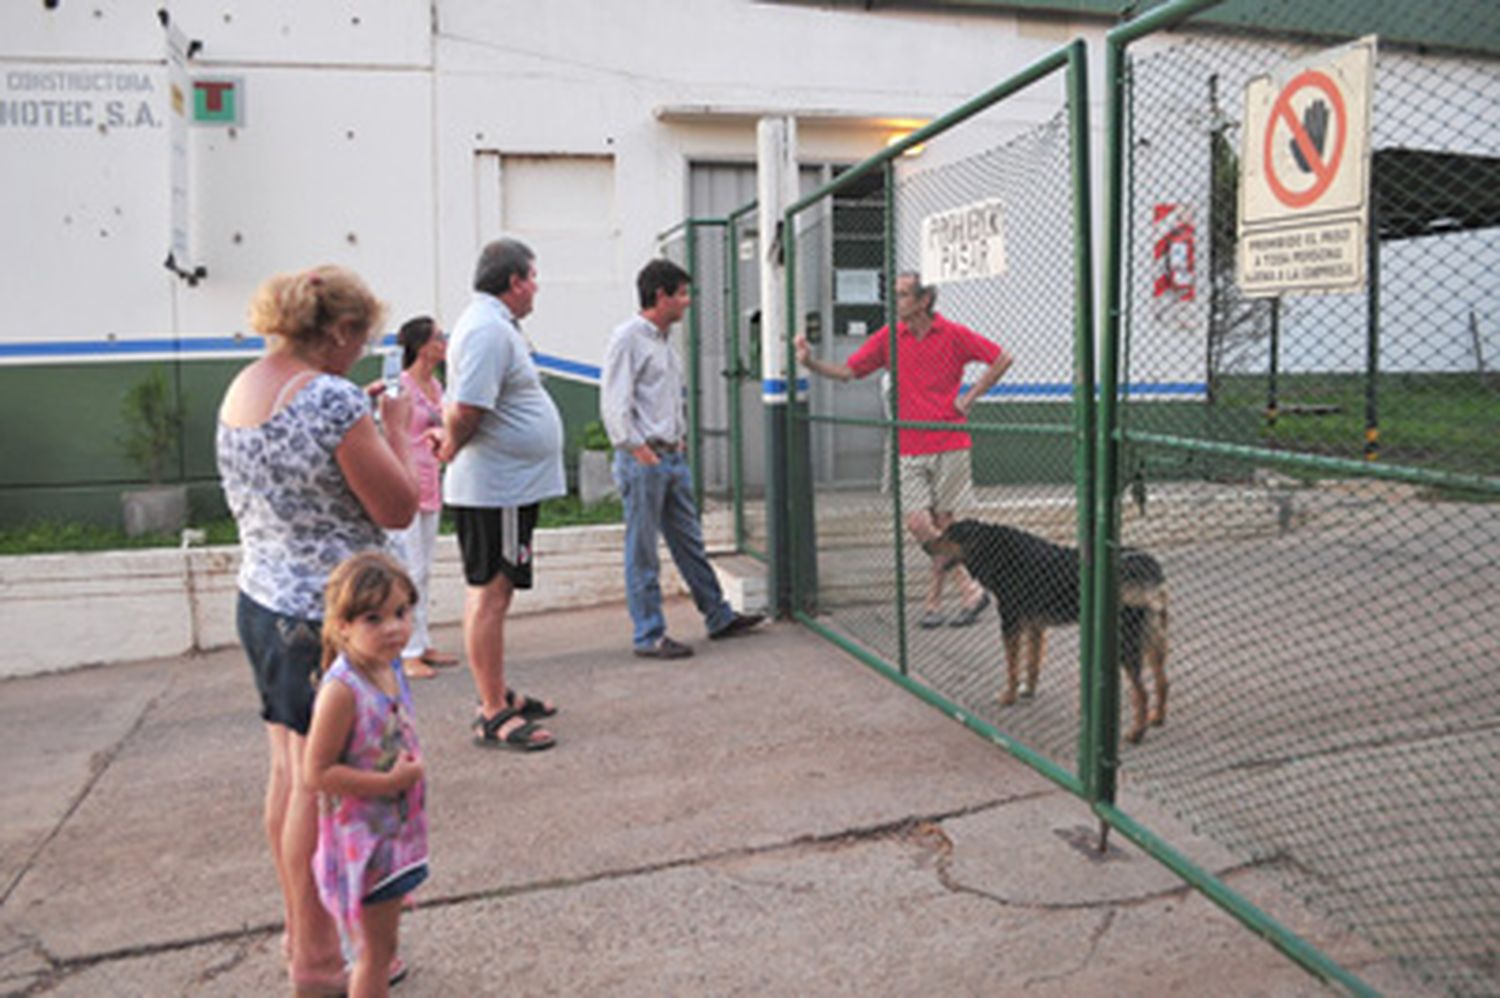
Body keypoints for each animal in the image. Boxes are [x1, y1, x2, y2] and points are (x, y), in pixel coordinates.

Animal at [924, 522, 1170, 738]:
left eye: (949, 535)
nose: (925, 545)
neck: (996, 551)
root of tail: (1148, 564)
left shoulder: (1010, 622)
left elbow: (1012, 666)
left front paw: (1009, 696)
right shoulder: (1035, 625)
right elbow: (1032, 662)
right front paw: (1028, 691)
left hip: (1127, 641)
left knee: (1142, 692)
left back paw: (1136, 733)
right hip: (1152, 636)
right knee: (1163, 681)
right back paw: (1157, 718)